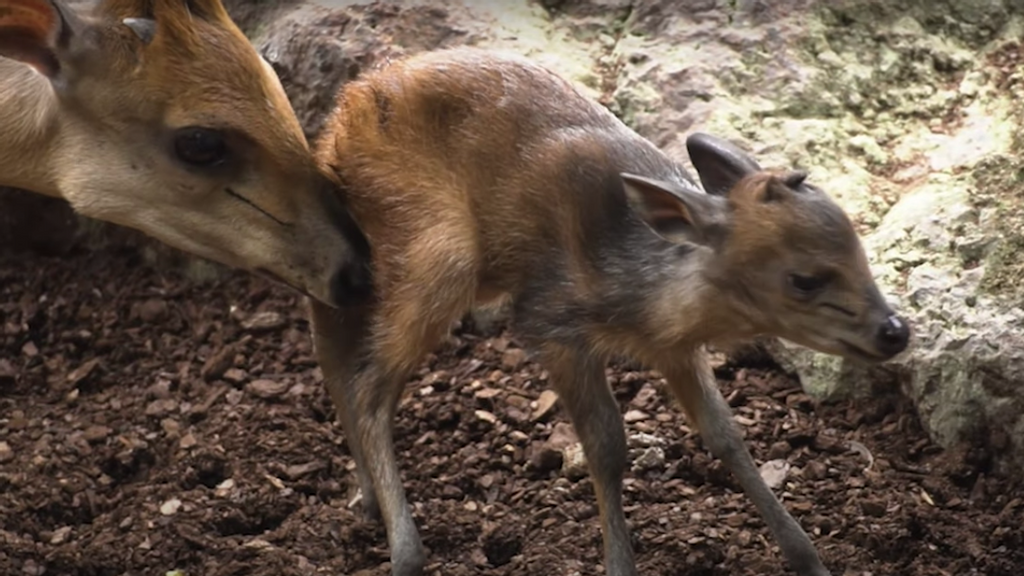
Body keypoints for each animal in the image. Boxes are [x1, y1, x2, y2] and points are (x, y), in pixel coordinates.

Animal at [309, 45, 913, 573]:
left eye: (860, 249)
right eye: (804, 280)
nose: (895, 331)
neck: (641, 284)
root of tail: (337, 122)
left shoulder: (674, 348)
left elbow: (725, 435)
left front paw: (809, 558)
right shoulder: (550, 326)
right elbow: (605, 444)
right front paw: (620, 564)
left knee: (334, 330)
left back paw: (367, 503)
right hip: (438, 248)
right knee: (369, 383)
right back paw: (405, 552)